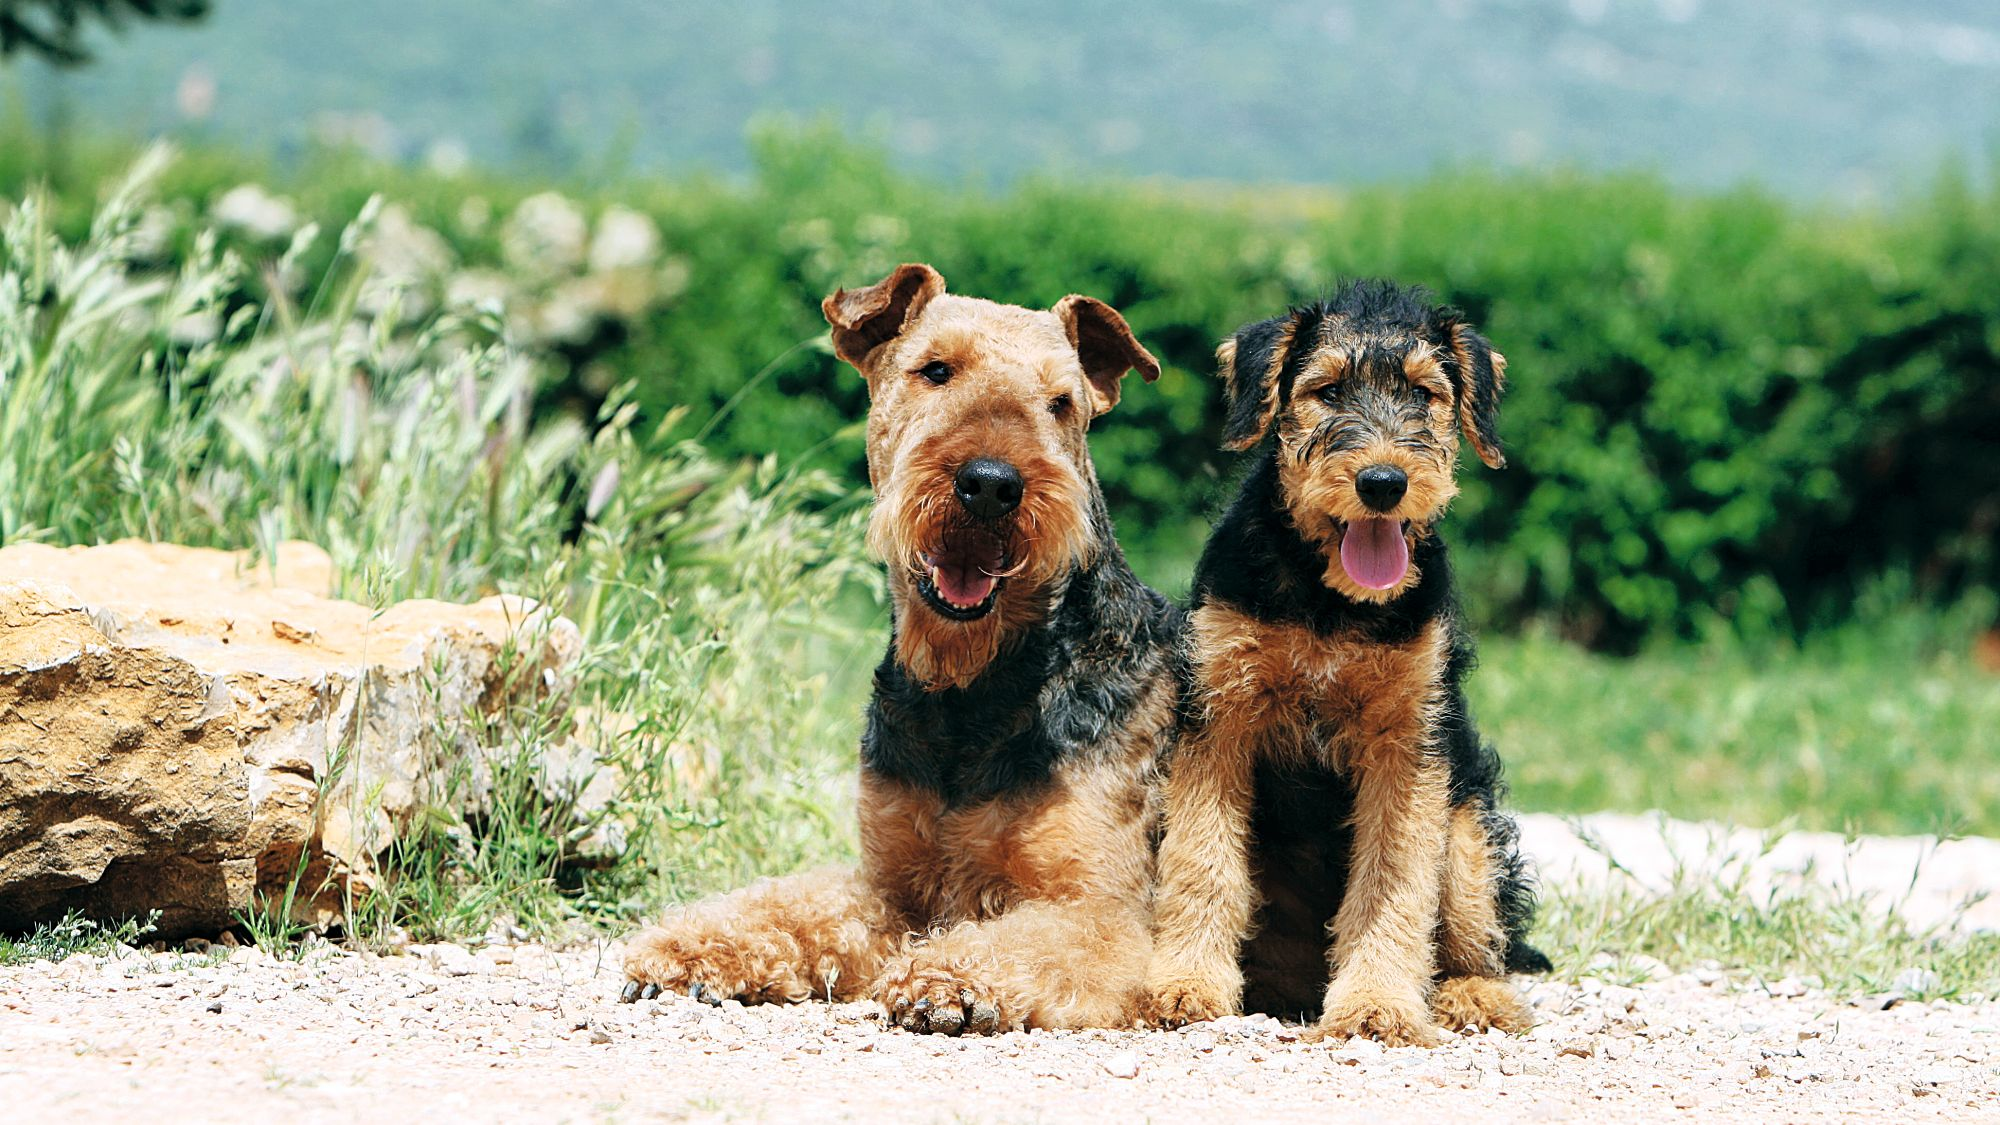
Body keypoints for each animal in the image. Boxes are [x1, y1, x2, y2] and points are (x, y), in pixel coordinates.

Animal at [624, 262, 1176, 1032]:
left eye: (1061, 402)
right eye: (935, 369)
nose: (991, 484)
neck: (969, 690)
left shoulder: (1102, 911)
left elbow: (1024, 940)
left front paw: (946, 978)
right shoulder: (892, 888)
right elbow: (790, 906)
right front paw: (687, 948)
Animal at [1144, 278, 1544, 1040]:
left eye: (1423, 392)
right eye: (1326, 390)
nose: (1383, 482)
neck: (1329, 599)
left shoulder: (1406, 742)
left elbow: (1393, 881)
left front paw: (1377, 1005)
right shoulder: (1219, 716)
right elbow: (1202, 862)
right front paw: (1184, 986)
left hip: (1467, 833)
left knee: (1482, 941)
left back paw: (1474, 998)